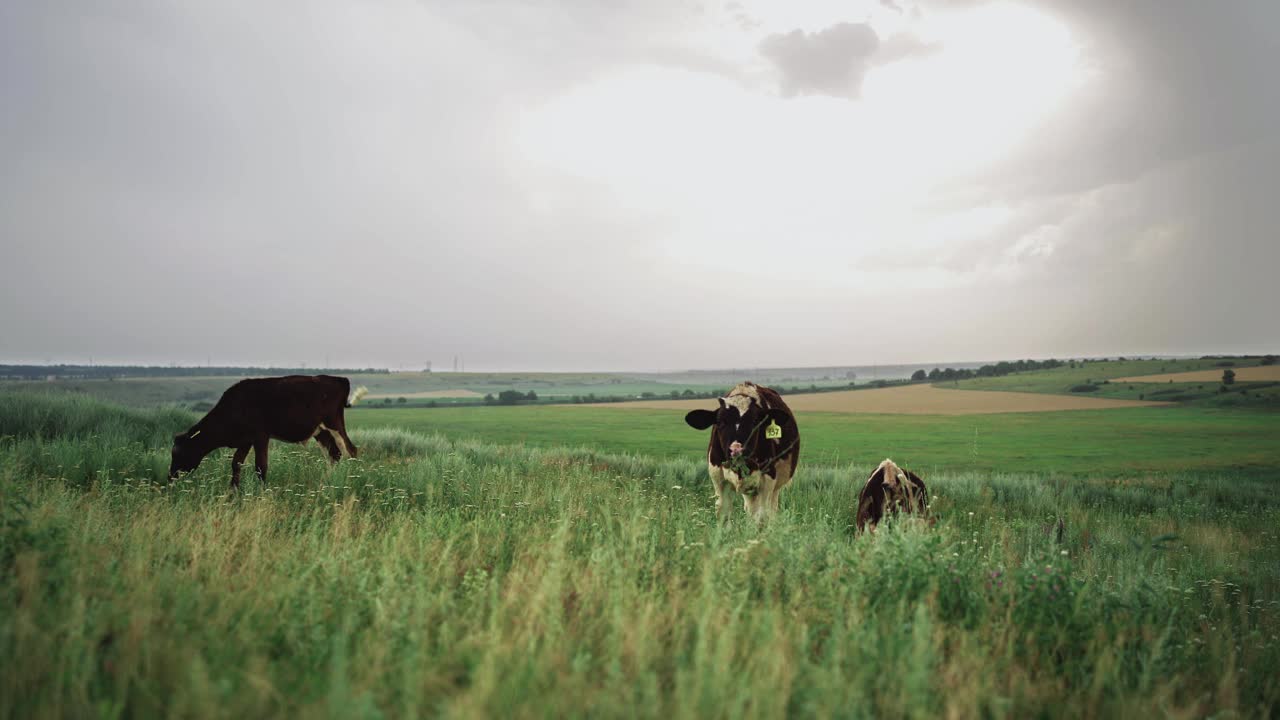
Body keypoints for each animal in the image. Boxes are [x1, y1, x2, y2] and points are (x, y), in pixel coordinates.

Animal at [167, 371, 363, 484]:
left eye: (178, 453)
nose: (170, 477)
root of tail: (338, 379)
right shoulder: (245, 440)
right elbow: (236, 464)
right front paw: (233, 493)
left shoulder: (260, 436)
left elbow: (260, 466)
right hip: (320, 431)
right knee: (334, 454)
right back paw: (327, 482)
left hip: (334, 423)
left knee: (350, 450)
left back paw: (350, 480)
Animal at [680, 379, 798, 517]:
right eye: (721, 422)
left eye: (755, 422)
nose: (736, 450)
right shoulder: (719, 481)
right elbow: (723, 513)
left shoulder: (767, 481)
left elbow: (761, 515)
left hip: (774, 487)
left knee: (768, 509)